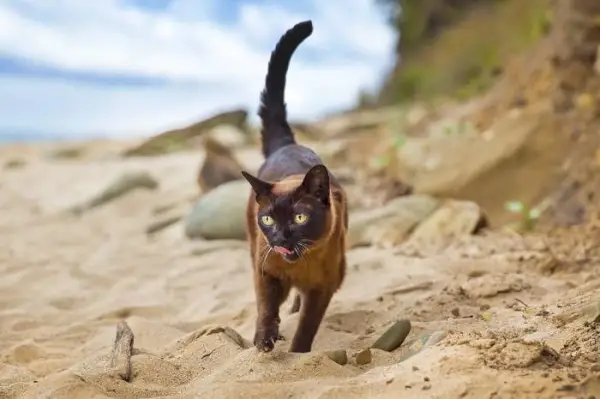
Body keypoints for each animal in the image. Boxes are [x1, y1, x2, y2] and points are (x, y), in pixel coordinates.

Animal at [241, 20, 350, 354]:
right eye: (268, 219)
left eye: (300, 217)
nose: (280, 235)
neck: (298, 266)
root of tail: (287, 145)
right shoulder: (265, 273)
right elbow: (266, 309)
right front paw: (264, 341)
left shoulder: (323, 289)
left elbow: (306, 329)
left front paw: (297, 354)